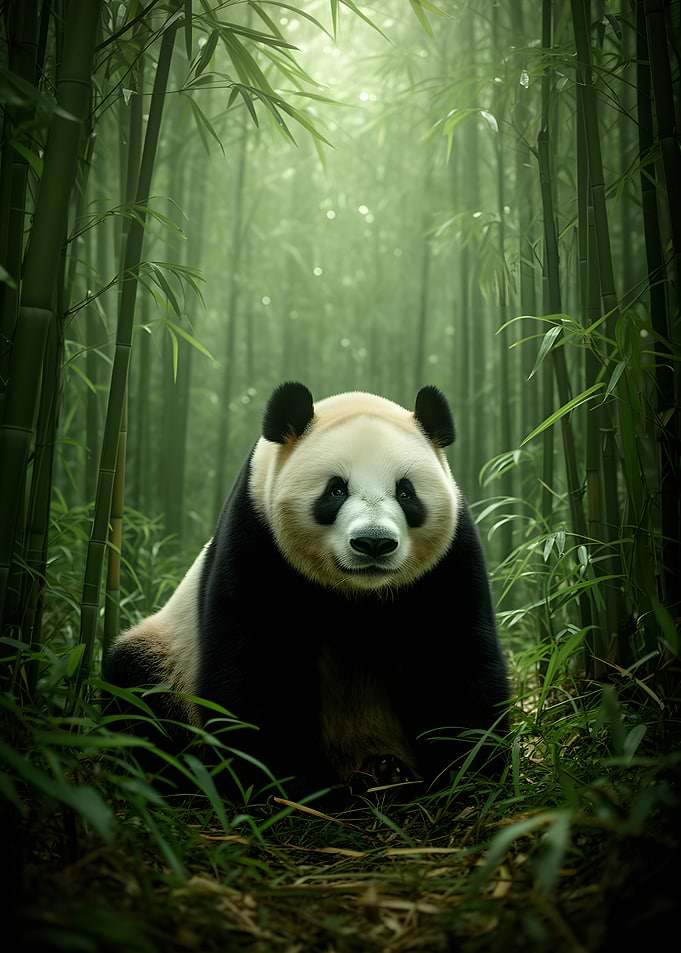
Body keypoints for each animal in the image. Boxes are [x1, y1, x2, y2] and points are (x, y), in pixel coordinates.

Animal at [104, 382, 509, 799]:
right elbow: (253, 668)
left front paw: (469, 777)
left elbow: (455, 659)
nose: (374, 543)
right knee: (140, 698)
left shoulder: (447, 562)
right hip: (168, 655)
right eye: (336, 490)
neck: (359, 595)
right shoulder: (256, 540)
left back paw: (386, 772)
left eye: (406, 492)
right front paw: (288, 786)